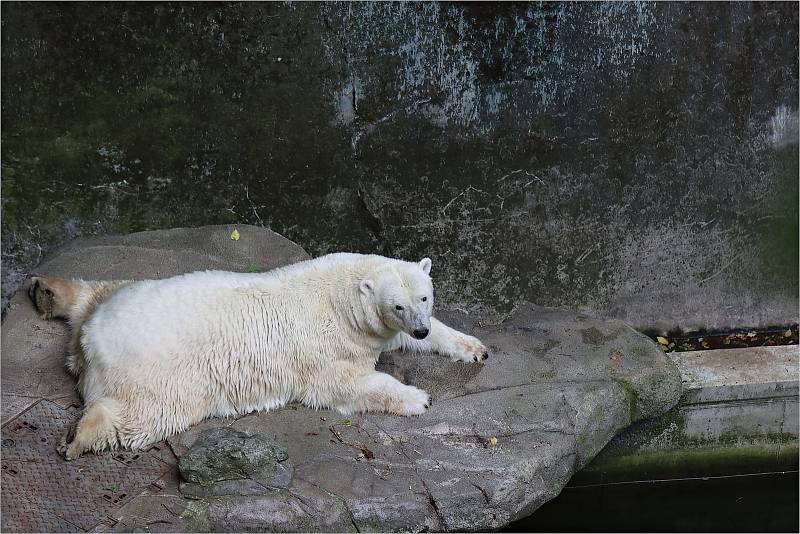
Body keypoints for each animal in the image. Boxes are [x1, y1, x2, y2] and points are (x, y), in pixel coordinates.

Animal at [29, 254, 488, 460]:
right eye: (398, 305)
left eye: (424, 297)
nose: (419, 326)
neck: (341, 295)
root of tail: (91, 339)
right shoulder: (329, 346)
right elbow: (345, 385)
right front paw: (418, 397)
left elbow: (403, 341)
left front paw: (474, 347)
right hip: (161, 377)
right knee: (140, 416)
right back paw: (78, 437)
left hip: (129, 293)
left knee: (101, 289)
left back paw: (49, 291)